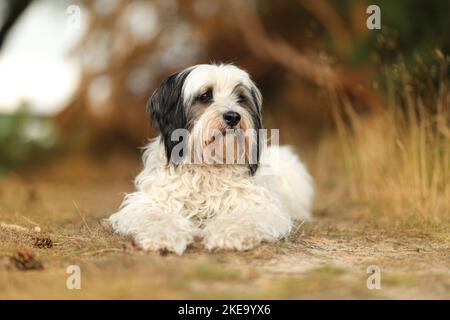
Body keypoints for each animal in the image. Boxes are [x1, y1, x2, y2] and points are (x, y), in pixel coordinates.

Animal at [108, 63, 312, 255]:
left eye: (240, 98)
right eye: (205, 96)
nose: (233, 116)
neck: (210, 166)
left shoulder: (260, 206)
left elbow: (244, 218)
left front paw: (229, 235)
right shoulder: (148, 203)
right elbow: (156, 216)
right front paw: (162, 236)